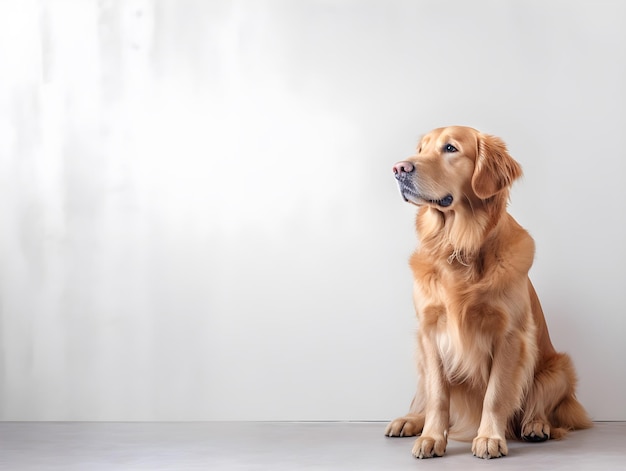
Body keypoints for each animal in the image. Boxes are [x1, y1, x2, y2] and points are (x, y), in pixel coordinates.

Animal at [380, 126, 588, 460]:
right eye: (421, 149)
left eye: (450, 148)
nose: (399, 168)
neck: (458, 246)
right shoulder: (430, 332)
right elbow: (437, 396)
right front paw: (431, 437)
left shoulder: (510, 336)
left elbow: (496, 393)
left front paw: (489, 437)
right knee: (423, 396)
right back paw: (410, 420)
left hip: (559, 369)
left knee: (540, 403)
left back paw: (536, 426)